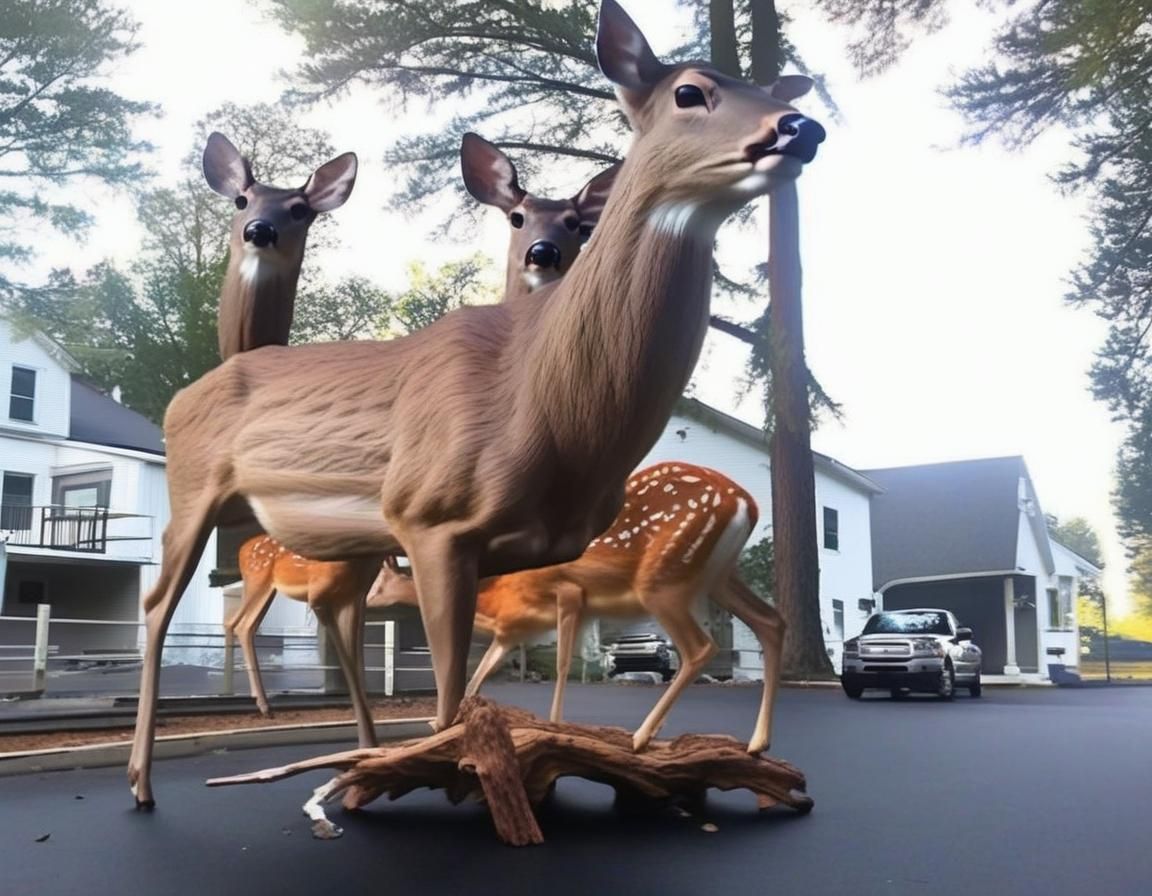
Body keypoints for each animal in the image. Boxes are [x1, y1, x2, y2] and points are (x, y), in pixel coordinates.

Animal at [371, 463, 784, 753]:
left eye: (377, 581)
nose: (369, 599)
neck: (498, 601)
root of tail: (747, 502)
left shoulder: (568, 592)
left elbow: (562, 663)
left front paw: (555, 727)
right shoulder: (510, 635)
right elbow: (479, 676)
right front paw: (447, 724)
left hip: (664, 582)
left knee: (700, 648)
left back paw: (641, 737)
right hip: (719, 576)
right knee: (771, 621)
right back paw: (757, 743)